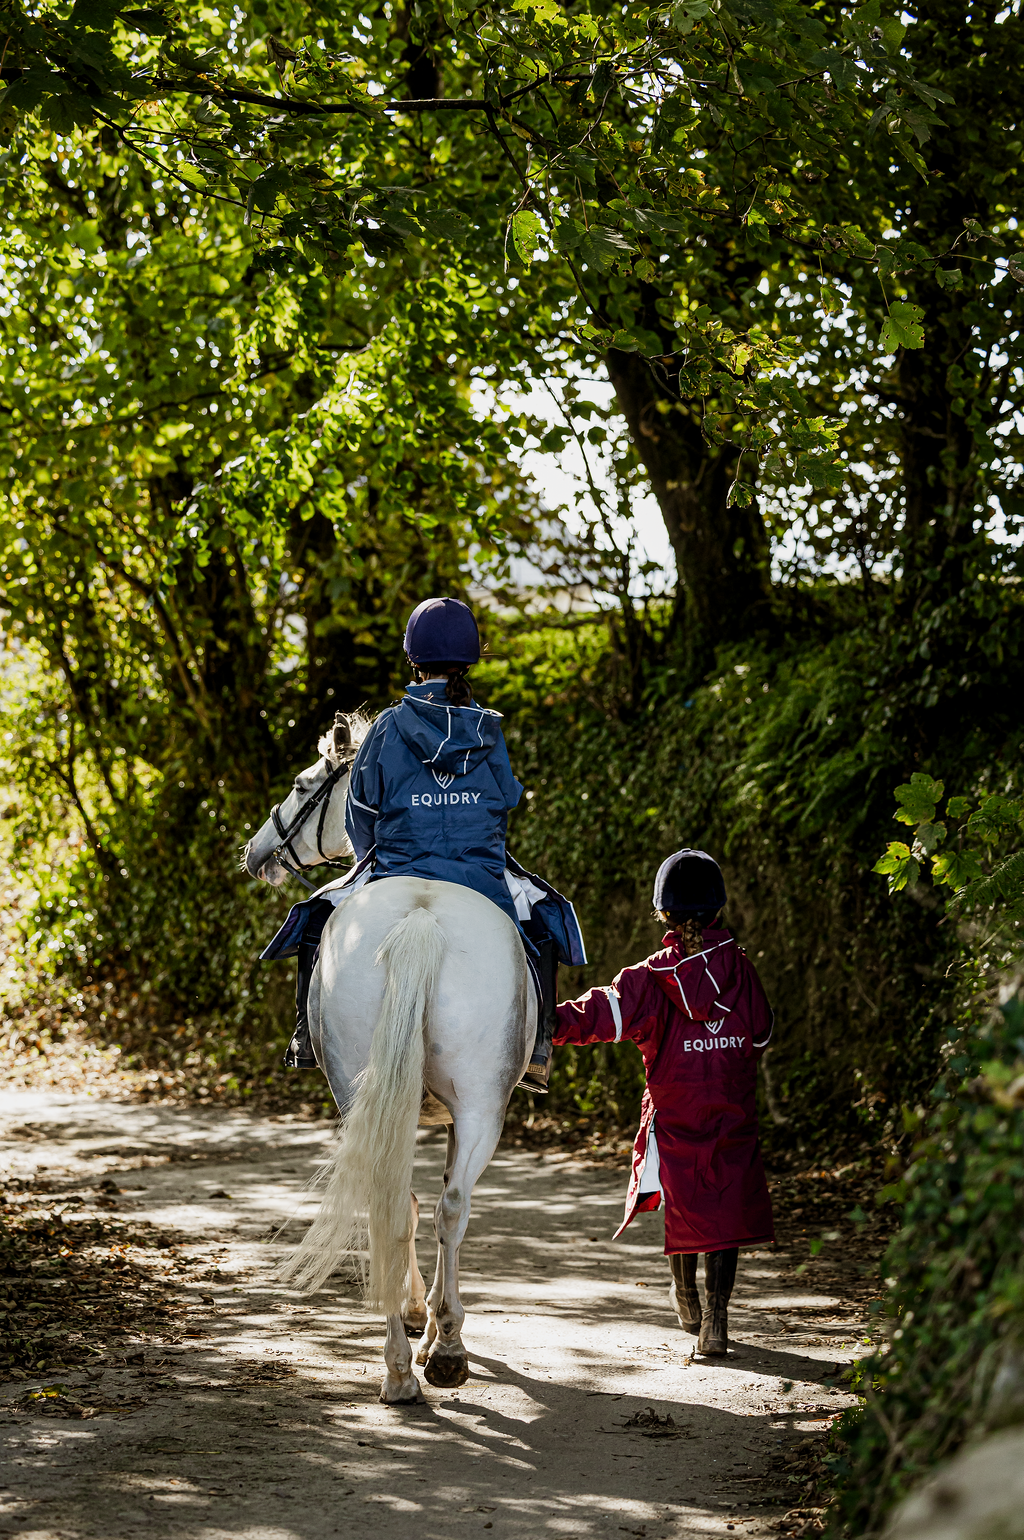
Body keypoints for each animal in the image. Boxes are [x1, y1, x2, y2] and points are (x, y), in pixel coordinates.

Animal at [240, 714, 535, 1404]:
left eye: (303, 784)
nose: (256, 851)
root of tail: (420, 920)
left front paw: (420, 1318)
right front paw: (428, 1321)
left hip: (387, 1095)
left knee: (404, 1202)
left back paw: (408, 1363)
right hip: (478, 1107)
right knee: (440, 1205)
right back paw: (434, 1353)